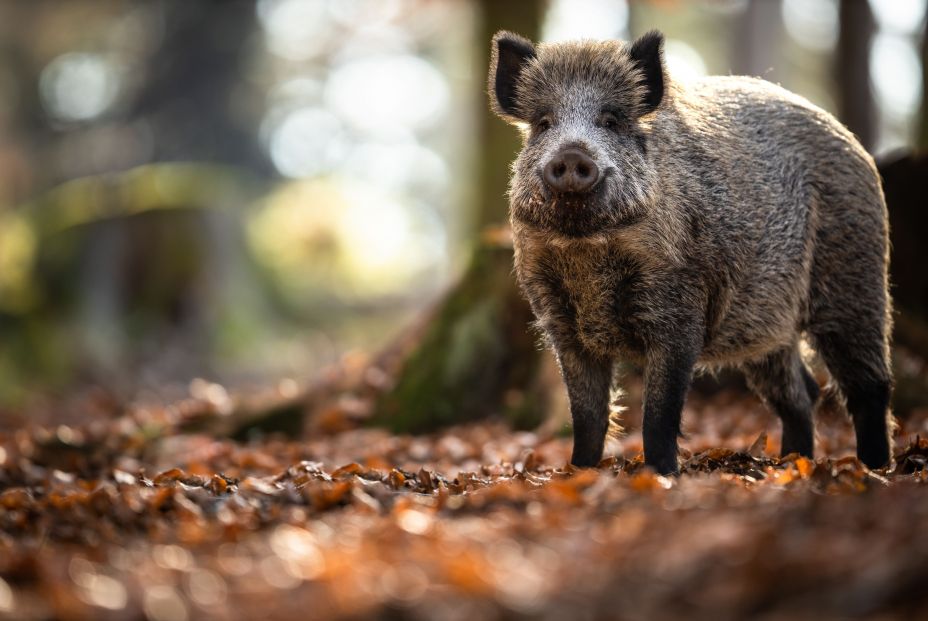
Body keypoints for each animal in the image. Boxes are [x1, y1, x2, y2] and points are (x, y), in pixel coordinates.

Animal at [487, 30, 893, 474]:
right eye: (544, 124)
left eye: (611, 121)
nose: (572, 154)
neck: (587, 250)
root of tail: (853, 143)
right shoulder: (560, 322)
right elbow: (588, 416)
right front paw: (580, 473)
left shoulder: (679, 309)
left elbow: (659, 413)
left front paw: (662, 475)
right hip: (765, 324)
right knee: (801, 391)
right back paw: (792, 463)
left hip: (856, 278)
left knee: (868, 386)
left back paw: (875, 469)